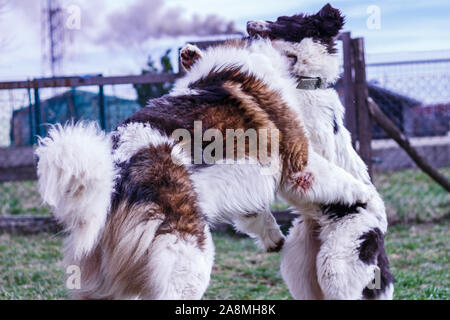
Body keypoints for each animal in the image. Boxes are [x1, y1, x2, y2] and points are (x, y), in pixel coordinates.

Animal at [36, 12, 372, 298]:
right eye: (285, 20)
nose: (251, 24)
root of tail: (117, 167)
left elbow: (256, 212)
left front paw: (273, 238)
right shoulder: (297, 162)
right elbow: (339, 179)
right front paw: (365, 196)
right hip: (188, 261)